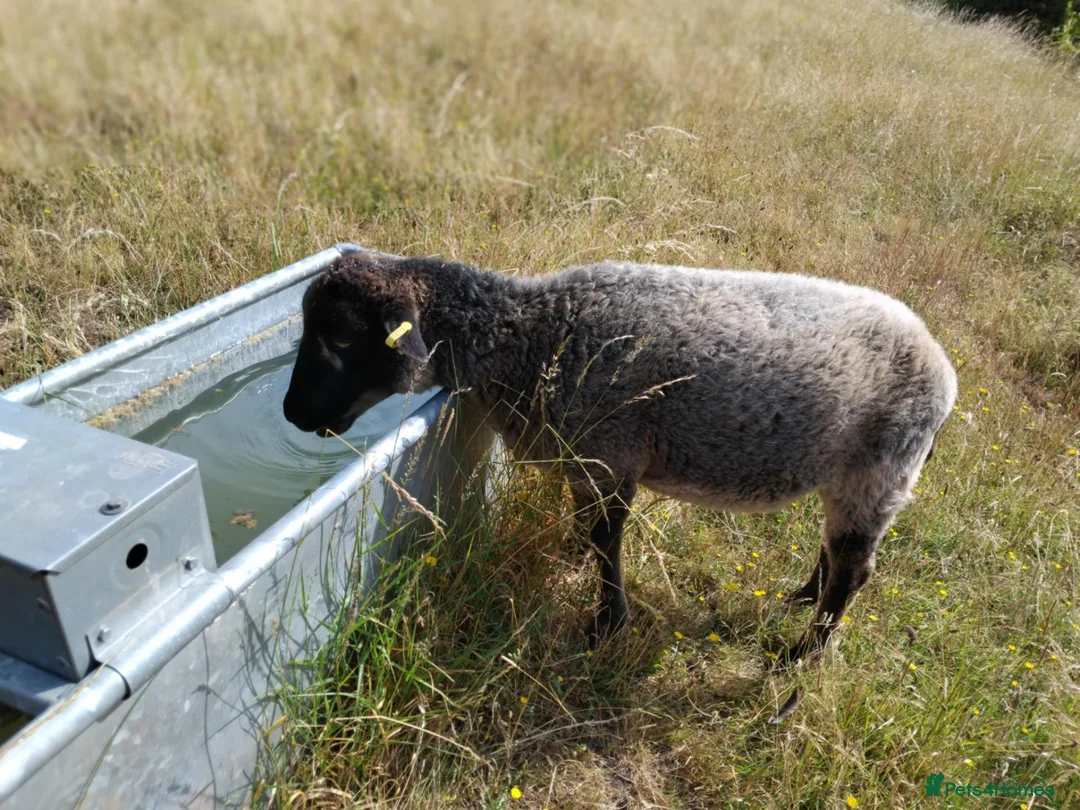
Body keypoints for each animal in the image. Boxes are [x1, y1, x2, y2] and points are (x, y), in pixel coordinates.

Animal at [283, 251, 957, 665]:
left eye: (341, 335)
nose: (291, 413)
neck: (532, 337)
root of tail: (943, 368)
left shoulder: (610, 458)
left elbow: (605, 541)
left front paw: (608, 623)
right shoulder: (586, 463)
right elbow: (589, 532)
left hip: (880, 471)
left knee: (854, 570)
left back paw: (802, 655)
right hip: (847, 476)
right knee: (835, 551)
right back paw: (802, 597)